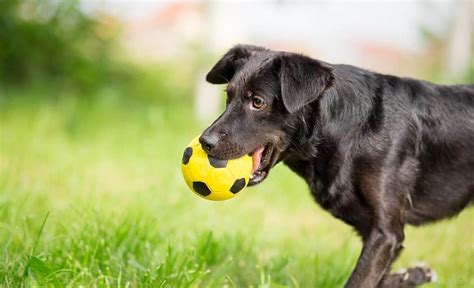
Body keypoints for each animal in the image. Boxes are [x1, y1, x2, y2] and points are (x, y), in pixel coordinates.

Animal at [198, 45, 472, 288]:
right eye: (228, 97)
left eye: (257, 102)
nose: (205, 142)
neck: (348, 129)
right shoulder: (378, 234)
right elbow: (379, 277)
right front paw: (413, 275)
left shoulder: (385, 233)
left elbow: (360, 280)